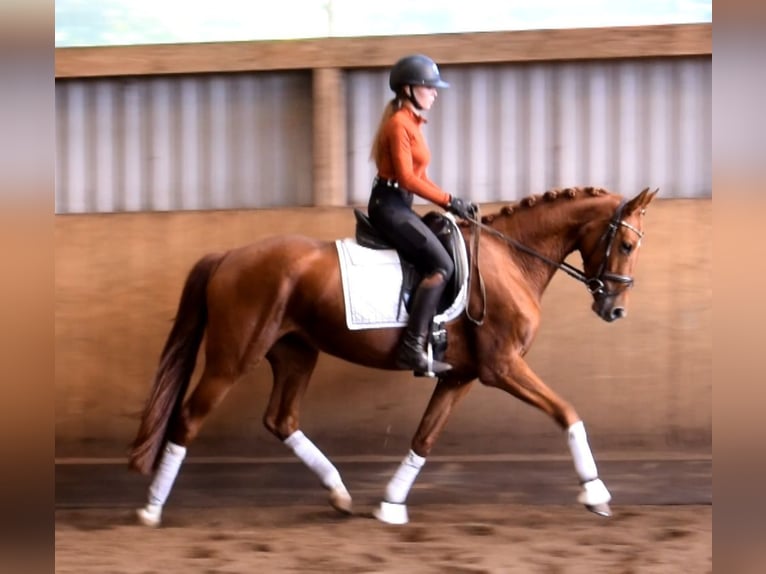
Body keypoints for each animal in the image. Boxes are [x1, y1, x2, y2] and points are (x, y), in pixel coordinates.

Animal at [129, 185, 657, 527]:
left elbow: (425, 437)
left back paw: (340, 494)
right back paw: (151, 508)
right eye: (626, 243)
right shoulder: (503, 367)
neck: (511, 259)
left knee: (281, 419)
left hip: (296, 352)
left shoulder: (459, 377)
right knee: (190, 418)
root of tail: (228, 256)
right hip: (233, 356)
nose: (614, 309)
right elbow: (568, 413)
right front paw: (596, 493)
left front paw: (390, 504)